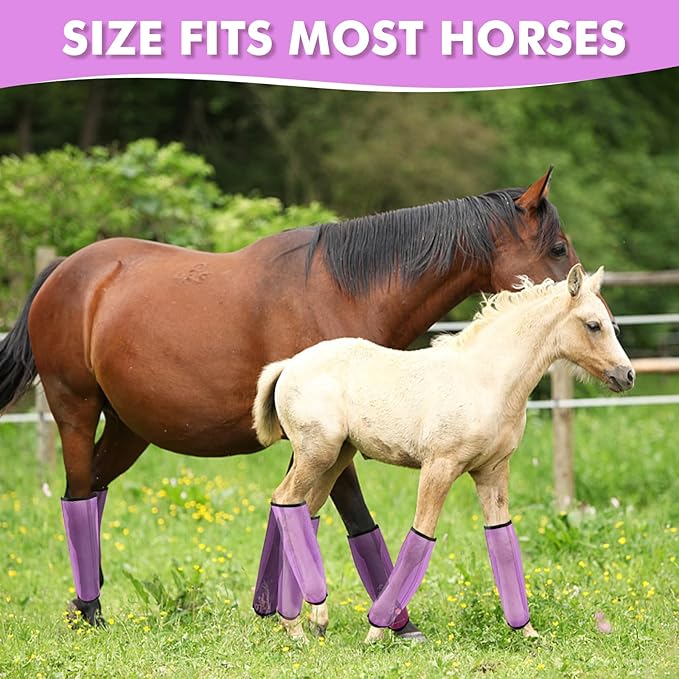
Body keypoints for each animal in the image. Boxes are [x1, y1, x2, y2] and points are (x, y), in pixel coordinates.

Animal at [0, 168, 580, 636]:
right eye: (557, 248)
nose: (586, 300)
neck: (344, 292)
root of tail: (64, 272)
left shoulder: (322, 442)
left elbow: (298, 514)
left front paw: (275, 610)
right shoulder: (334, 440)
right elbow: (354, 518)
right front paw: (393, 622)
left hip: (129, 428)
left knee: (94, 490)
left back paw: (84, 604)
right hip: (76, 410)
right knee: (77, 496)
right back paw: (92, 612)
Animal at [252, 264, 634, 643]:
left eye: (611, 323)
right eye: (593, 325)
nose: (627, 375)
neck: (486, 381)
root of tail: (289, 364)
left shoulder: (493, 471)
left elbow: (502, 538)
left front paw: (526, 630)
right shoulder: (440, 466)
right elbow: (421, 535)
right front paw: (378, 628)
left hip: (336, 459)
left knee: (304, 510)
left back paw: (307, 618)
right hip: (316, 454)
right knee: (284, 500)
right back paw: (295, 625)